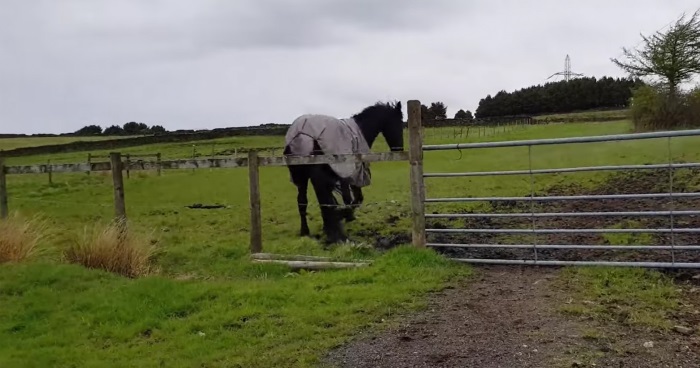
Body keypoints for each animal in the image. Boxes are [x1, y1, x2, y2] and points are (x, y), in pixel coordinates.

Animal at [284, 100, 404, 244]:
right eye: (399, 122)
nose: (399, 148)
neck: (359, 132)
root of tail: (301, 135)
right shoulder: (350, 174)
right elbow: (354, 199)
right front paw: (346, 215)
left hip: (301, 178)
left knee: (303, 202)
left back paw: (305, 231)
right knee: (323, 203)